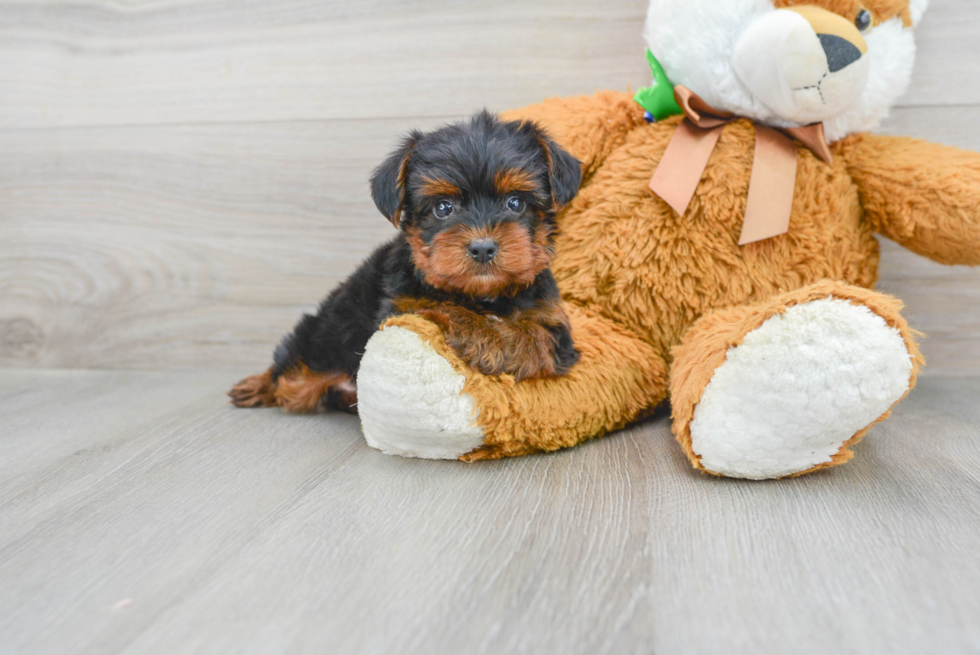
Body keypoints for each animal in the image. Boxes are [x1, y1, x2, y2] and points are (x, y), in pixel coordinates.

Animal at [230, 109, 580, 412]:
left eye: (515, 203)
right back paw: (258, 385)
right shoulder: (401, 303)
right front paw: (484, 337)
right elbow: (443, 307)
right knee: (290, 365)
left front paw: (502, 342)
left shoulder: (553, 321)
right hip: (321, 337)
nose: (482, 247)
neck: (483, 296)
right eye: (443, 208)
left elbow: (536, 335)